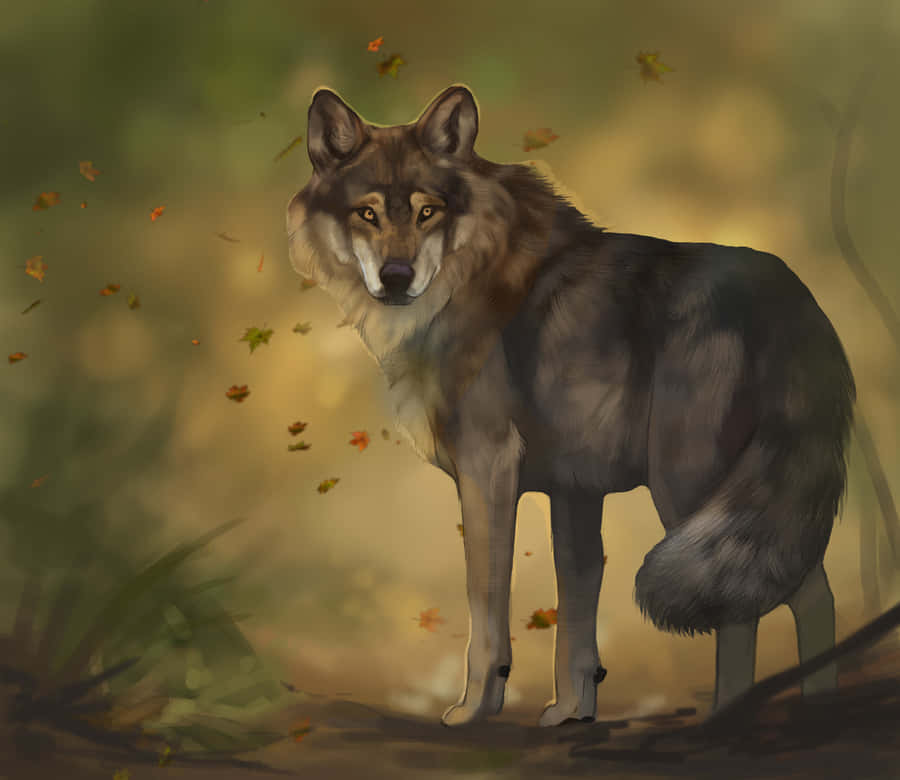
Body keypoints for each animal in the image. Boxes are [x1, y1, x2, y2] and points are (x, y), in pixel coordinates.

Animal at [286, 84, 856, 727]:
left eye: (428, 212)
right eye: (369, 214)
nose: (397, 276)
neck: (469, 274)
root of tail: (790, 293)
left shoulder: (489, 470)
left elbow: (487, 606)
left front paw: (474, 709)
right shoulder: (575, 491)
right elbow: (577, 616)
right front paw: (572, 712)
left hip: (690, 491)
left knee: (747, 608)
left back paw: (725, 720)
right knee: (810, 590)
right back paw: (819, 710)